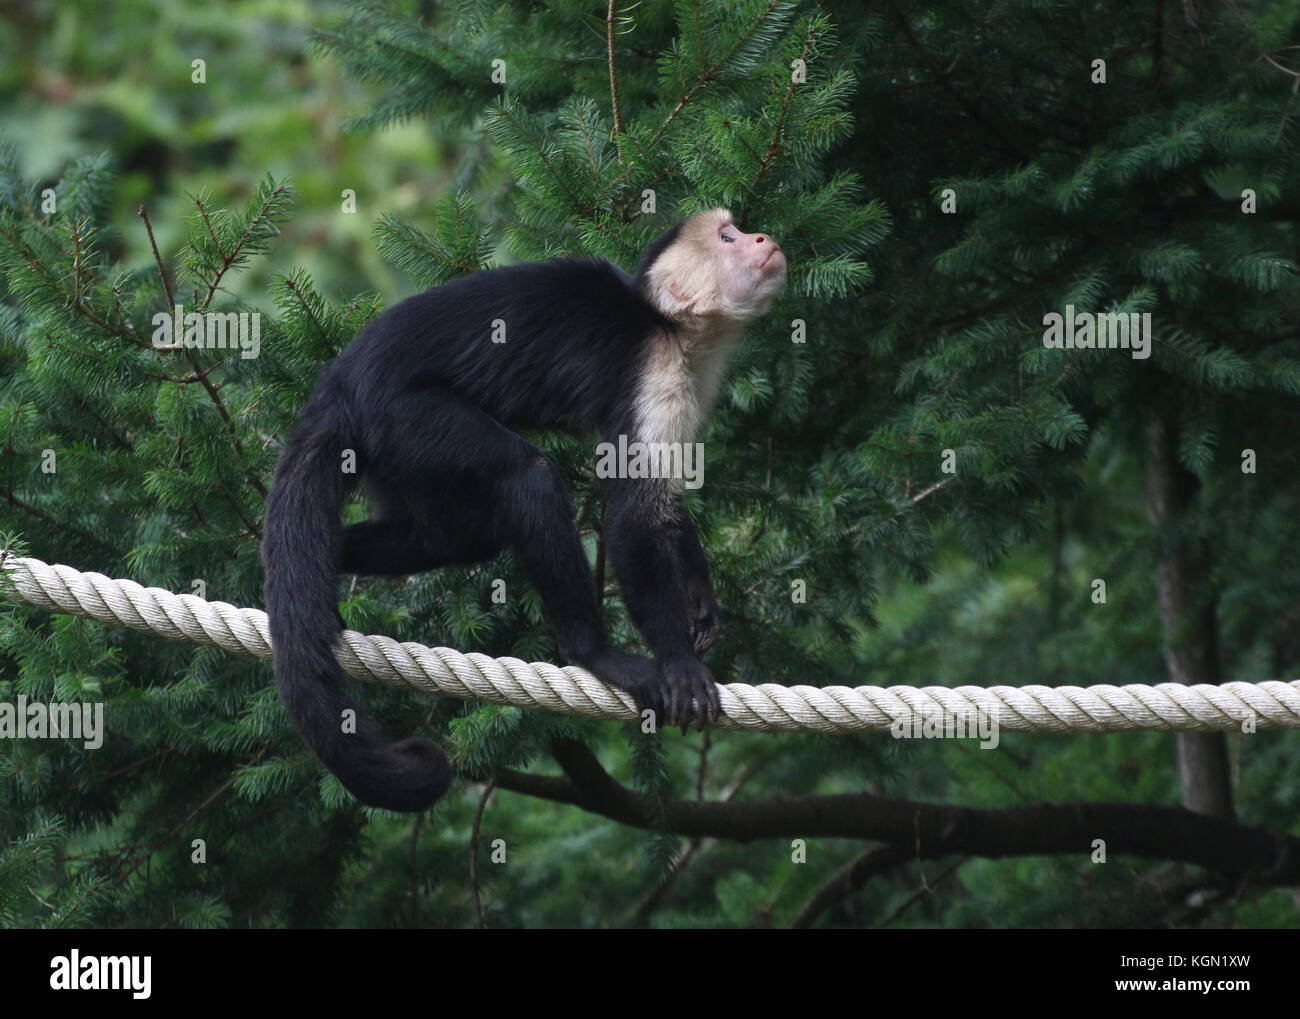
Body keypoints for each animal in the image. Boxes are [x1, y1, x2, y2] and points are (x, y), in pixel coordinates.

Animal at [263, 209, 780, 811]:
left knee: (449, 538)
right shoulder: (655, 372)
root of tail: (340, 381)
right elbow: (633, 512)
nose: (762, 237)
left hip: (392, 451)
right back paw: (593, 652)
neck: (670, 328)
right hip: (403, 413)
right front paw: (678, 662)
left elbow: (668, 500)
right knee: (527, 479)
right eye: (727, 238)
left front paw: (699, 594)